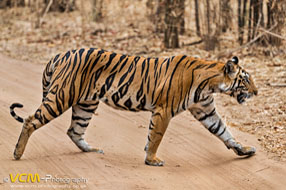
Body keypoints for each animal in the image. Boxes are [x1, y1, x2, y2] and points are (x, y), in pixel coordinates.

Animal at [10, 47, 258, 166]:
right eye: (245, 80)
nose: (257, 92)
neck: (210, 84)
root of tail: (60, 54)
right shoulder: (163, 110)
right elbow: (156, 136)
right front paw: (152, 160)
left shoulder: (205, 110)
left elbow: (224, 132)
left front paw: (245, 150)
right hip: (61, 96)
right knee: (31, 120)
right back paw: (17, 153)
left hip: (86, 104)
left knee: (74, 130)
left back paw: (91, 149)